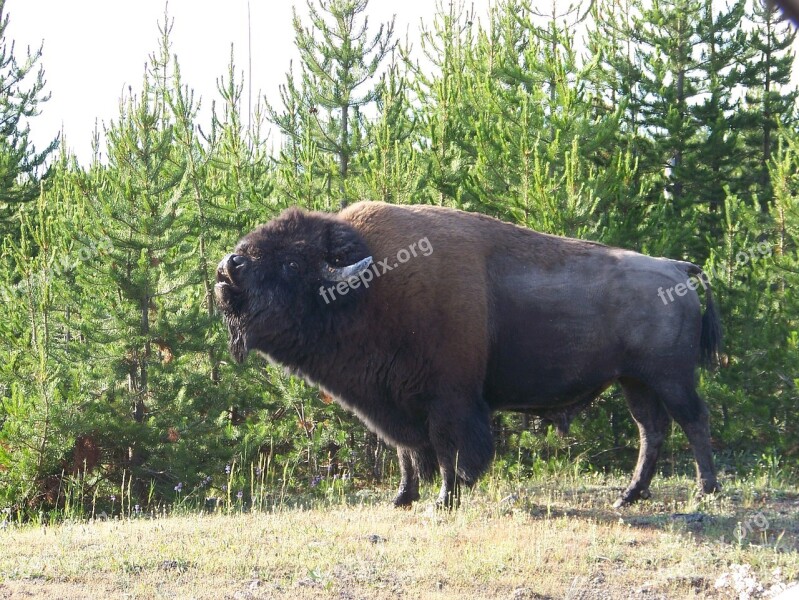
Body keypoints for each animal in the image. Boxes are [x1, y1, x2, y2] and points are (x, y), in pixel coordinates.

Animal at [216, 202, 720, 506]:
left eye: (291, 263)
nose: (228, 267)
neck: (371, 285)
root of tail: (678, 268)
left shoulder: (448, 399)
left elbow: (448, 449)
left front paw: (445, 498)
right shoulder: (392, 401)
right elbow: (407, 450)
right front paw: (402, 499)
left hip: (670, 378)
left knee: (693, 422)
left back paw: (705, 491)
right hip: (634, 382)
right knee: (652, 431)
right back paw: (628, 495)